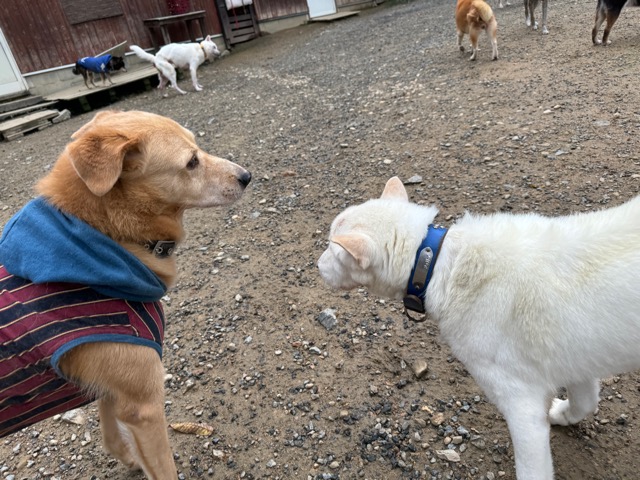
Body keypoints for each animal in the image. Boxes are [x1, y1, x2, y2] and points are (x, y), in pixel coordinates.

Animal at [0, 111, 251, 479]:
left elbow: (111, 433)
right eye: (191, 162)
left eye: (198, 146)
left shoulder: (113, 389)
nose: (247, 176)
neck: (106, 237)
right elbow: (163, 469)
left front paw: (130, 460)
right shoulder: (144, 407)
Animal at [318, 176, 640, 479]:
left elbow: (531, 468)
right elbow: (584, 403)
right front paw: (562, 414)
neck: (436, 262)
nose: (317, 265)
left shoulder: (521, 404)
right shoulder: (578, 360)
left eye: (333, 249)